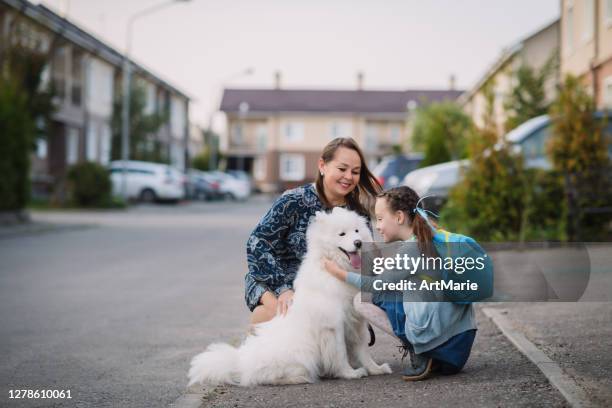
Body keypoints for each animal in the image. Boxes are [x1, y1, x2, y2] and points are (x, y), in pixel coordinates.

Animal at [185, 207, 392, 386]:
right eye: (342, 234)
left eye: (357, 231)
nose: (358, 243)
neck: (337, 269)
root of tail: (240, 362)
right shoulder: (333, 325)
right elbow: (339, 353)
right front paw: (349, 373)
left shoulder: (357, 321)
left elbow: (363, 350)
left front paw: (375, 369)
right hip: (301, 353)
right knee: (266, 377)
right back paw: (300, 377)